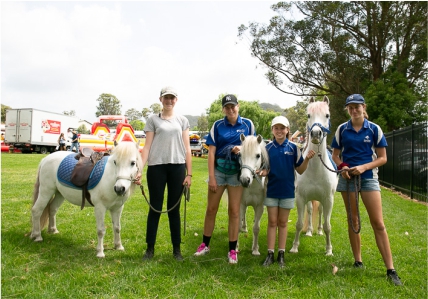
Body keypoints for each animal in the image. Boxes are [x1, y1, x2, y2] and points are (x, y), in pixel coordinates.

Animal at [290, 96, 340, 255]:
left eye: (327, 115)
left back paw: (318, 231)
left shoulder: (329, 200)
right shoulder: (300, 198)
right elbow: (299, 223)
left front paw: (329, 250)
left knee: (321, 212)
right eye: (308, 115)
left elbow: (327, 225)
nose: (316, 134)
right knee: (311, 211)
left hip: (323, 200)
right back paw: (310, 231)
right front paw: (294, 247)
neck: (316, 169)